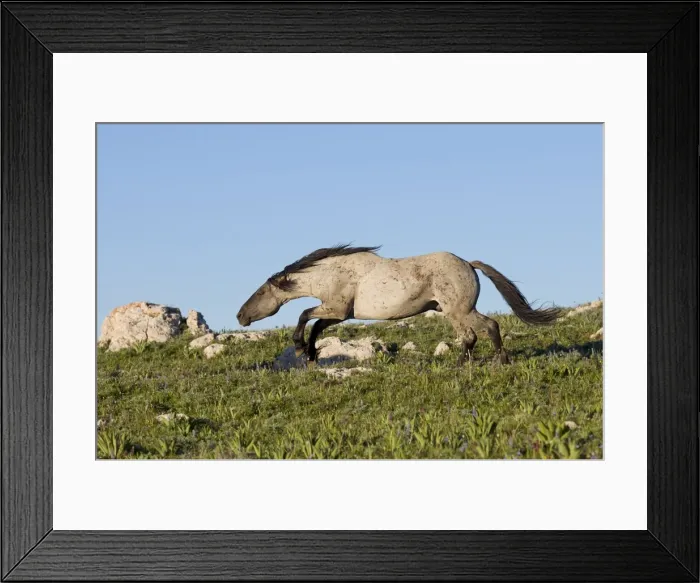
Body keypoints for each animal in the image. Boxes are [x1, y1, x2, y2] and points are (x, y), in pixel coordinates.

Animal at [236, 244, 561, 366]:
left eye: (260, 292)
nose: (240, 316)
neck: (331, 272)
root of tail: (469, 264)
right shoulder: (341, 314)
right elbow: (316, 325)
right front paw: (311, 354)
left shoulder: (336, 308)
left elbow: (305, 315)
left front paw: (301, 348)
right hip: (455, 311)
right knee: (474, 335)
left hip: (458, 311)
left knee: (482, 329)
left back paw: (494, 362)